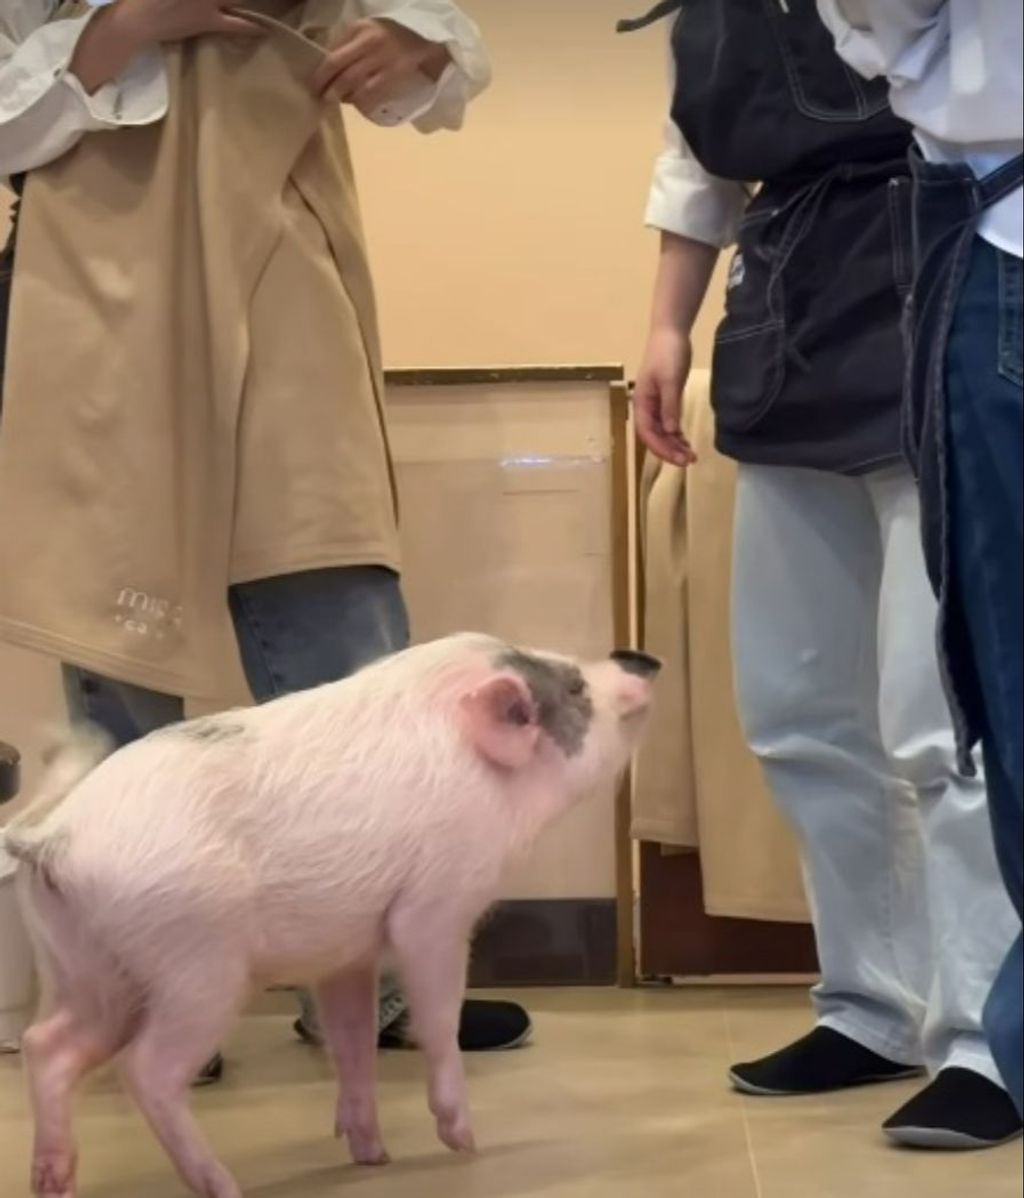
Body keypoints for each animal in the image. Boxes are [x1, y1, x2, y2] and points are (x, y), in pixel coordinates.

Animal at [5, 632, 656, 1193]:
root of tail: (51, 838)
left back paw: (52, 1182)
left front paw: (372, 1155)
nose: (640, 658)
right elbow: (438, 1015)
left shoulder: (346, 954)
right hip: (196, 968)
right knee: (146, 1069)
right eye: (575, 688)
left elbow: (353, 1040)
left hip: (89, 969)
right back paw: (221, 1184)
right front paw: (464, 1141)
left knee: (47, 1046)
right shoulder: (436, 904)